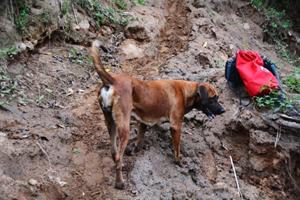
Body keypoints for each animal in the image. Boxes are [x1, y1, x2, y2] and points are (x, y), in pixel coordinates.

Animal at [90, 40, 224, 189]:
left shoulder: (143, 122)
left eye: (217, 98)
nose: (223, 110)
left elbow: (139, 140)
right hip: (124, 127)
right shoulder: (176, 126)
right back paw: (120, 182)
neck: (185, 91)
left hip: (110, 122)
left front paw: (135, 150)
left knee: (114, 152)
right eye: (213, 99)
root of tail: (112, 80)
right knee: (118, 155)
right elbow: (176, 149)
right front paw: (179, 162)